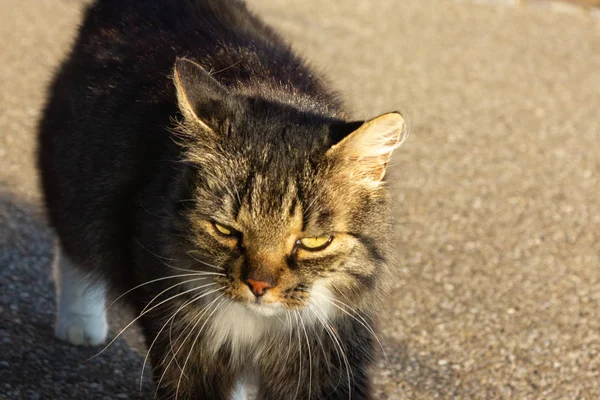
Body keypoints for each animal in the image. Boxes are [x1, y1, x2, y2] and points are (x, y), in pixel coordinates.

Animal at [36, 0, 404, 396]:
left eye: (314, 242)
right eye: (225, 230)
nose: (259, 287)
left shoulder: (326, 350)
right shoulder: (186, 340)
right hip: (79, 179)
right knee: (75, 246)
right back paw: (80, 320)